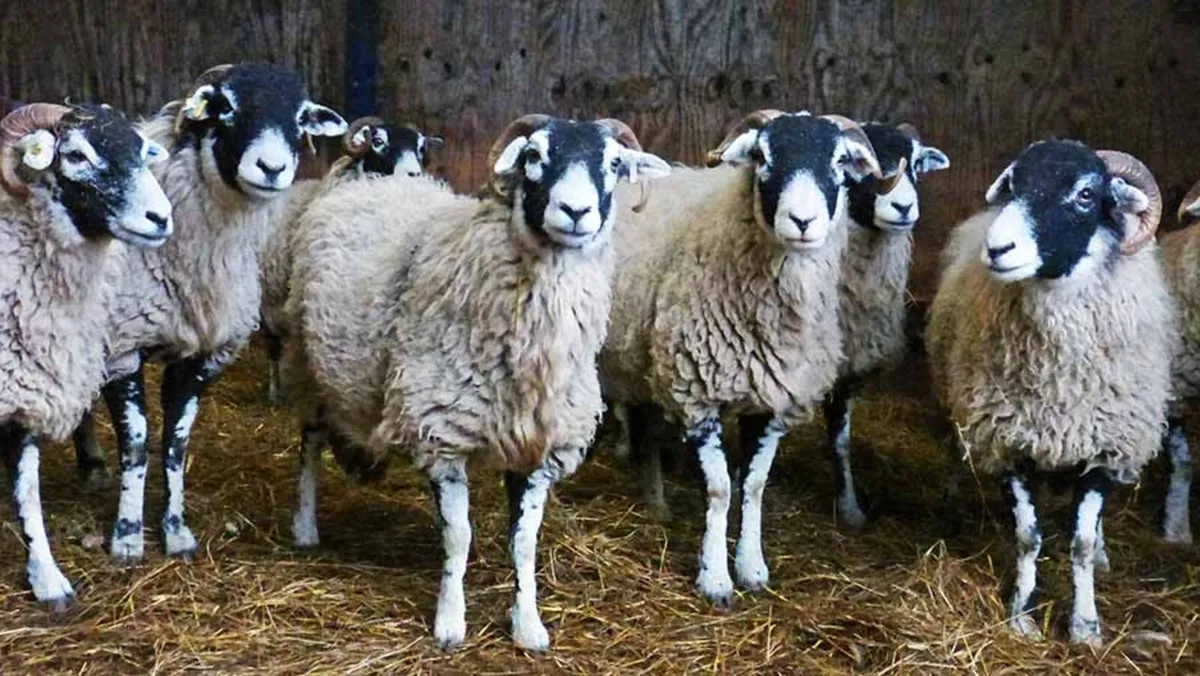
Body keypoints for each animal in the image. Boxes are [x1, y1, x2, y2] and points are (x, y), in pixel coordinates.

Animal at [0, 103, 173, 608]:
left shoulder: (24, 390)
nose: (161, 217)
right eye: (75, 155)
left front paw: (45, 576)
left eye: (140, 150)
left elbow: (26, 486)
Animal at [69, 62, 348, 563]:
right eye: (226, 107)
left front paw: (177, 531)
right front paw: (126, 536)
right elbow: (137, 444)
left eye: (301, 117)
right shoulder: (123, 344)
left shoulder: (203, 354)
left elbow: (176, 444)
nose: (272, 168)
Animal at [283, 114, 671, 651]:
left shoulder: (540, 447)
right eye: (533, 156)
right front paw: (450, 623)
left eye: (614, 163)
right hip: (307, 362)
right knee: (309, 446)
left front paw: (528, 625)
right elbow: (459, 536)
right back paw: (304, 526)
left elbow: (525, 542)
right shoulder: (442, 433)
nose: (576, 211)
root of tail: (369, 182)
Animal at [598, 110, 883, 608]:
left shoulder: (770, 402)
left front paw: (752, 567)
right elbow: (718, 489)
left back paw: (656, 503)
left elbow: (752, 485)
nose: (802, 220)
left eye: (839, 161)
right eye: (762, 157)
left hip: (644, 358)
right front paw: (715, 579)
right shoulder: (696, 394)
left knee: (647, 428)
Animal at [925, 140, 1173, 646]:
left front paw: (1085, 626)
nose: (997, 248)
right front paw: (1021, 615)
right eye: (1015, 185)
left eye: (1085, 194)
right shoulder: (1008, 442)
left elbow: (1080, 542)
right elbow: (1028, 537)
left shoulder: (1106, 449)